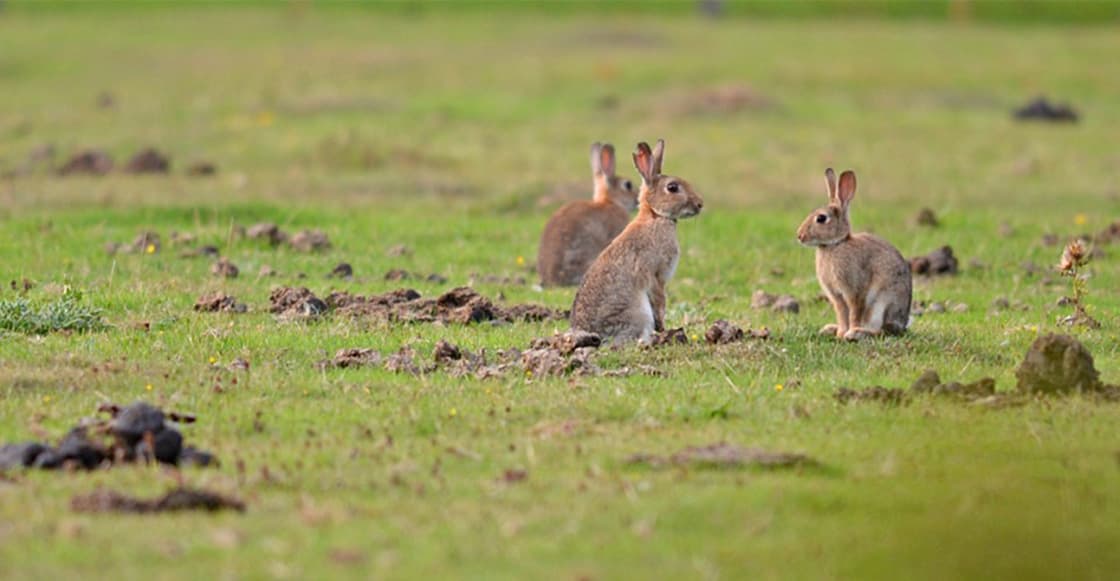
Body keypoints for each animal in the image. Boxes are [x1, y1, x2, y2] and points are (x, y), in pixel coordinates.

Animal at [570, 139, 704, 344]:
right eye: (672, 187)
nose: (699, 204)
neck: (655, 215)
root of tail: (592, 335)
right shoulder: (657, 273)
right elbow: (660, 302)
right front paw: (663, 329)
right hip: (639, 312)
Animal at [796, 168, 912, 341]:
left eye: (821, 218)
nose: (799, 236)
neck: (835, 244)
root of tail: (903, 324)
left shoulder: (855, 290)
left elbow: (854, 313)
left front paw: (848, 332)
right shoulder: (836, 295)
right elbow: (841, 314)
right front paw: (840, 333)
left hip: (882, 305)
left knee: (883, 331)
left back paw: (857, 333)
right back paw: (830, 329)